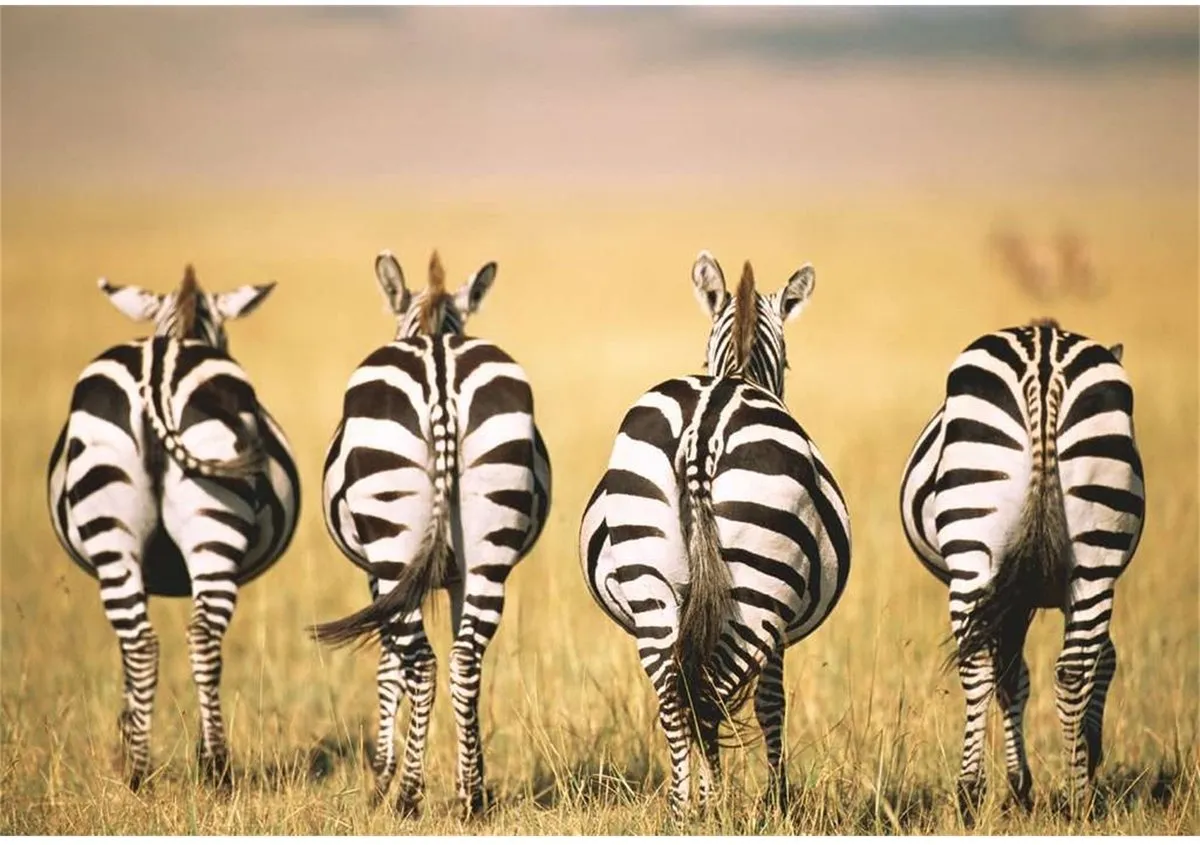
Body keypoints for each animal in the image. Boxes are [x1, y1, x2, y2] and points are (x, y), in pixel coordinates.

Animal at [46, 265, 301, 789]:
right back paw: (177, 767)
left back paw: (175, 770)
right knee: (178, 640)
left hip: (140, 530)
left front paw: (129, 738)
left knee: (168, 641)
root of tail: (158, 367)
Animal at [311, 249, 551, 818]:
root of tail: (439, 370)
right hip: (489, 547)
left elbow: (387, 666)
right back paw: (473, 798)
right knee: (465, 660)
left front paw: (381, 777)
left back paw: (406, 795)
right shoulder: (458, 576)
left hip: (392, 543)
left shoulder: (378, 579)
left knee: (420, 663)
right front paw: (469, 776)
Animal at [578, 251, 852, 818]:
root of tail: (704, 425)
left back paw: (683, 809)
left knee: (675, 694)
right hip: (757, 593)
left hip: (650, 583)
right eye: (789, 365)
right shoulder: (777, 635)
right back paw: (712, 804)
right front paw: (777, 801)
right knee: (708, 693)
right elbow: (771, 704)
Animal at [899, 317, 1144, 819]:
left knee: (982, 663)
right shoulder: (1029, 593)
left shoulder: (1014, 596)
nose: (1096, 755)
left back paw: (971, 792)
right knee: (1071, 668)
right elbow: (1077, 663)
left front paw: (1021, 783)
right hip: (1092, 555)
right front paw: (1041, 775)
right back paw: (1075, 799)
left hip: (976, 551)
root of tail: (1044, 355)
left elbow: (1013, 675)